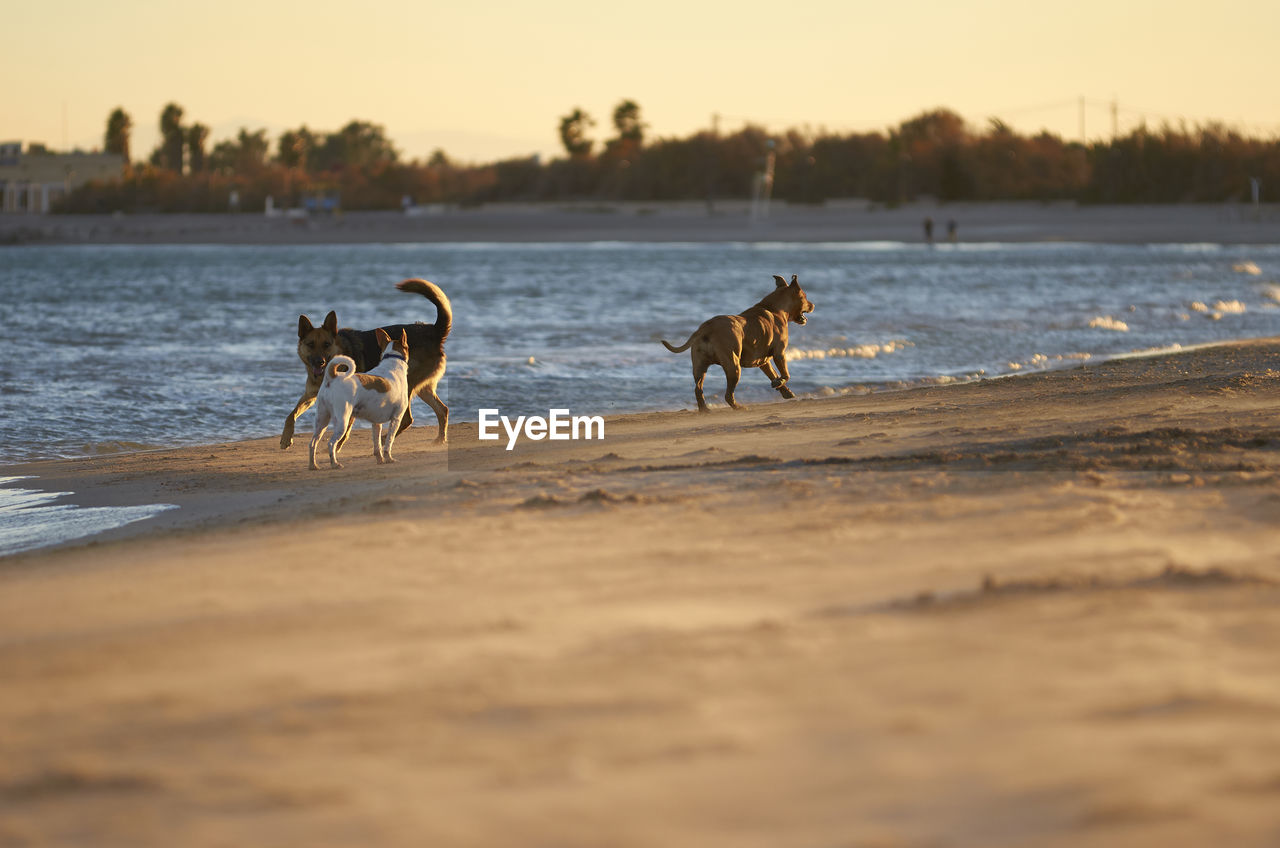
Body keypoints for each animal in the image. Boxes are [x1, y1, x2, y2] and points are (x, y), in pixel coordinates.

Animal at [282, 279, 453, 450]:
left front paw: (337, 446)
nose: (320, 362)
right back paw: (440, 439)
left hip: (408, 385)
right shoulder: (310, 396)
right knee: (442, 410)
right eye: (311, 344)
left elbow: (346, 429)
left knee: (407, 419)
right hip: (423, 388)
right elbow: (291, 415)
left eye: (326, 344)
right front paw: (285, 438)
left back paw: (384, 439)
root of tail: (434, 331)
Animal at [307, 327, 407, 471]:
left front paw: (380, 460)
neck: (393, 362)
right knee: (331, 444)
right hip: (342, 421)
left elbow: (377, 446)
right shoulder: (396, 419)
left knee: (312, 443)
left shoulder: (376, 423)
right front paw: (389, 459)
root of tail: (331, 377)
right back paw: (334, 463)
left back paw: (313, 465)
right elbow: (389, 442)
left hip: (322, 420)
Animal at [665, 274, 814, 412]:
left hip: (700, 367)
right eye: (805, 296)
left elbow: (773, 374)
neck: (775, 309)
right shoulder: (779, 353)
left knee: (698, 389)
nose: (813, 305)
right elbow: (786, 374)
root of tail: (707, 327)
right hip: (734, 366)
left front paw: (783, 389)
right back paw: (738, 407)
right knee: (728, 395)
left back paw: (704, 409)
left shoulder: (764, 361)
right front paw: (780, 382)